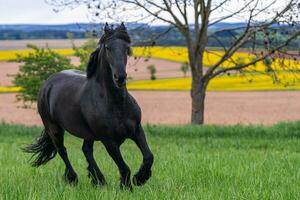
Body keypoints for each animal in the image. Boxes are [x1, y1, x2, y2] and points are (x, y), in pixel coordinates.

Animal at [23, 22, 154, 190]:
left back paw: (99, 180)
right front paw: (128, 186)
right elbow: (124, 167)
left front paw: (140, 178)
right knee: (62, 150)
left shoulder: (136, 130)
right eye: (108, 48)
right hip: (54, 128)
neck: (116, 103)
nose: (120, 77)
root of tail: (48, 82)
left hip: (87, 133)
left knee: (86, 150)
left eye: (127, 48)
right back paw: (74, 178)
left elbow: (149, 156)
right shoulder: (109, 141)